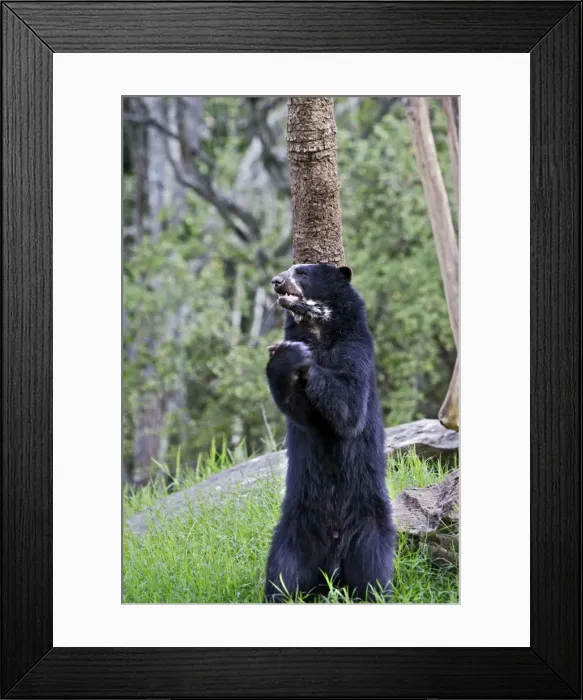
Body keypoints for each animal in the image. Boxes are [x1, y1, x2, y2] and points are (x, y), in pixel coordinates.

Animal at [264, 263, 396, 602]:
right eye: (287, 269)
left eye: (302, 272)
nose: (276, 281)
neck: (318, 329)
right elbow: (300, 412)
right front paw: (285, 356)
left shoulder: (356, 348)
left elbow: (349, 404)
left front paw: (300, 358)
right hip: (292, 533)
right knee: (282, 575)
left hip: (370, 527)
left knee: (374, 574)